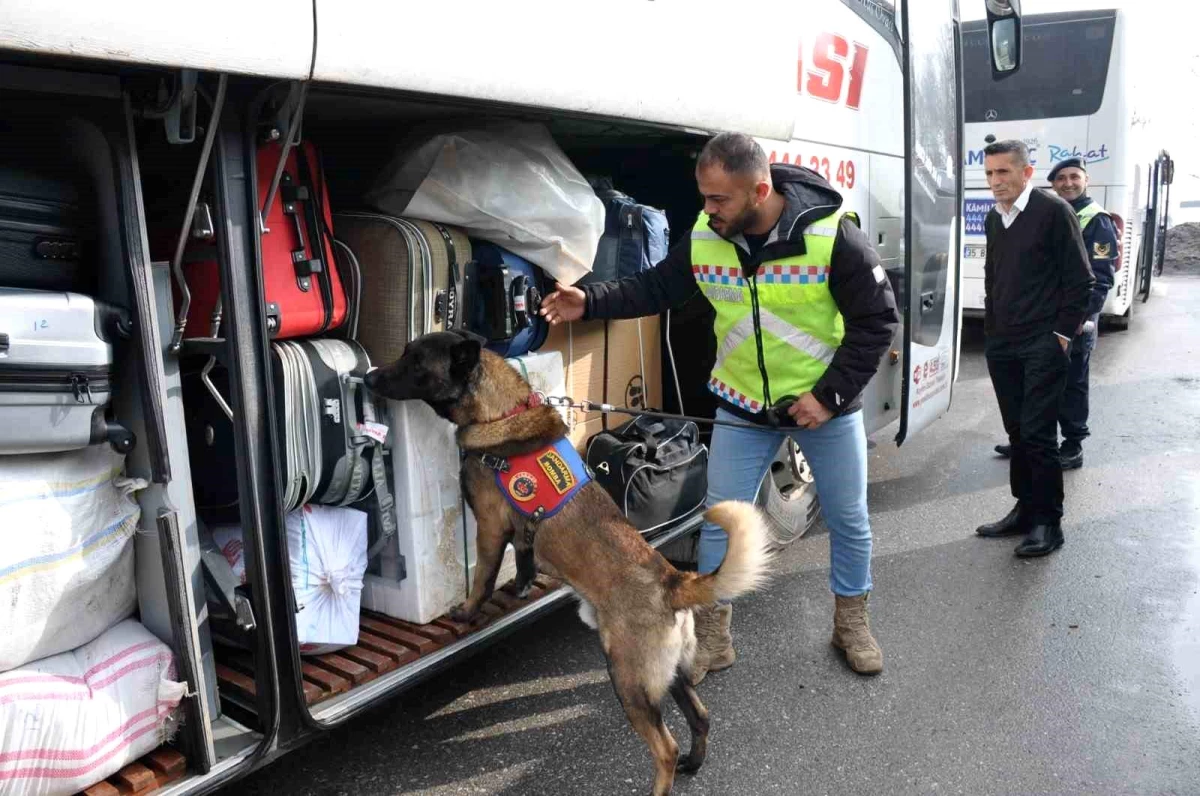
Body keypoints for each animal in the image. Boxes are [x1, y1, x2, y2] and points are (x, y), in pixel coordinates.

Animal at [362, 328, 768, 796]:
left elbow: (481, 578)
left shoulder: (490, 529)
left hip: (628, 680)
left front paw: (465, 613)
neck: (500, 411)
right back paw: (694, 762)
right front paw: (519, 587)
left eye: (414, 363)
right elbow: (523, 562)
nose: (368, 379)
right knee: (701, 718)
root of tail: (671, 580)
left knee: (664, 747)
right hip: (670, 676)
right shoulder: (520, 534)